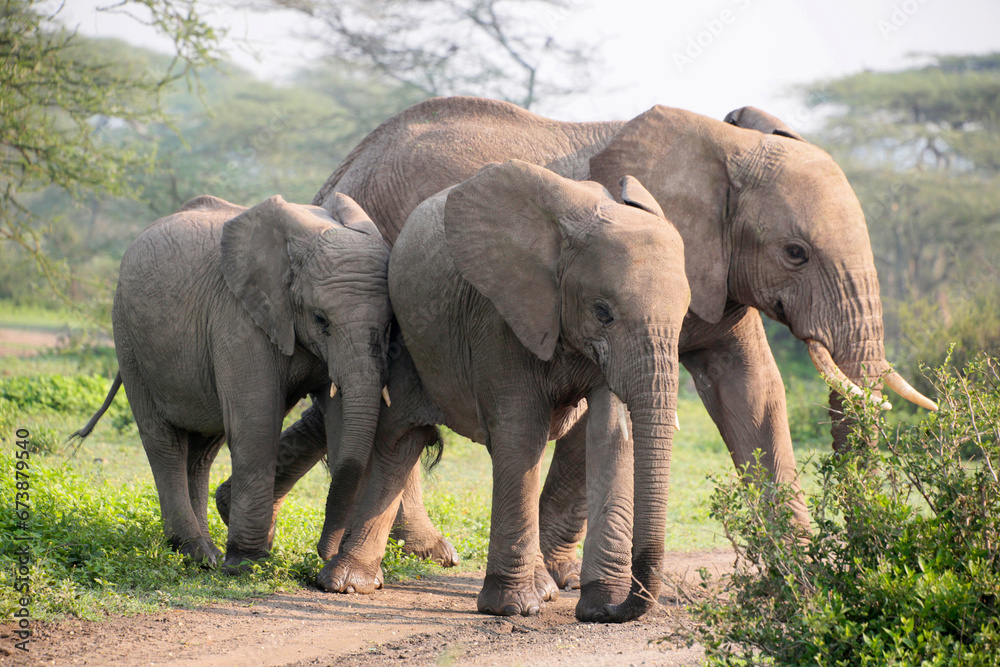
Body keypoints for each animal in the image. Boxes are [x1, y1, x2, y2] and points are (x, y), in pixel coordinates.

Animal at [72, 193, 392, 576]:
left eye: (390, 325)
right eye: (320, 319)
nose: (323, 554)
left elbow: (342, 419)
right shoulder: (237, 317)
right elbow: (256, 424)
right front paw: (247, 563)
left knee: (201, 451)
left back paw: (206, 555)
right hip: (127, 335)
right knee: (163, 441)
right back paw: (193, 550)